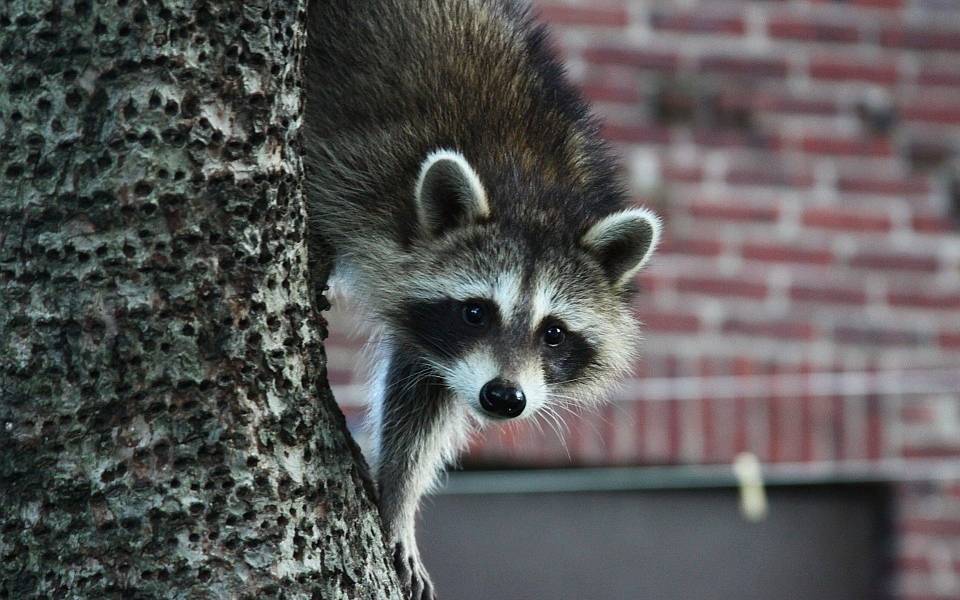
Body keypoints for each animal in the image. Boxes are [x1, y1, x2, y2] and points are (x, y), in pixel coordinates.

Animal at [306, 2, 660, 596]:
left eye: (554, 332)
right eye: (476, 311)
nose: (503, 398)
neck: (532, 191)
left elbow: (424, 396)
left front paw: (397, 495)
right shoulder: (357, 169)